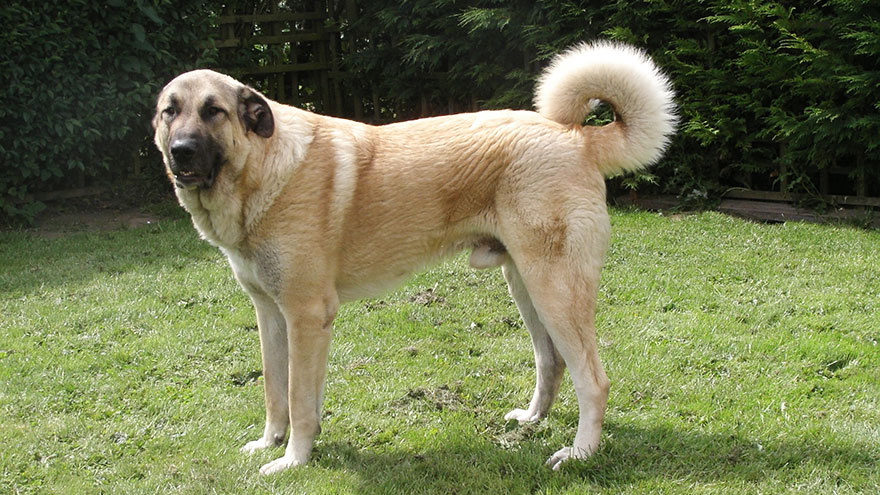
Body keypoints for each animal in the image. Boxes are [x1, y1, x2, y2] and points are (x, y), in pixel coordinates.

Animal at [153, 41, 672, 472]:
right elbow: (277, 393)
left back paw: (579, 453)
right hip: (526, 285)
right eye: (169, 112)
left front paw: (293, 461)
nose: (181, 151)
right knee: (552, 362)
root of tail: (576, 136)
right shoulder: (272, 315)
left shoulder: (305, 316)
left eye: (214, 111)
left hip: (555, 290)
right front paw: (271, 443)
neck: (262, 170)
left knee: (593, 380)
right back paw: (531, 420)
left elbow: (299, 400)